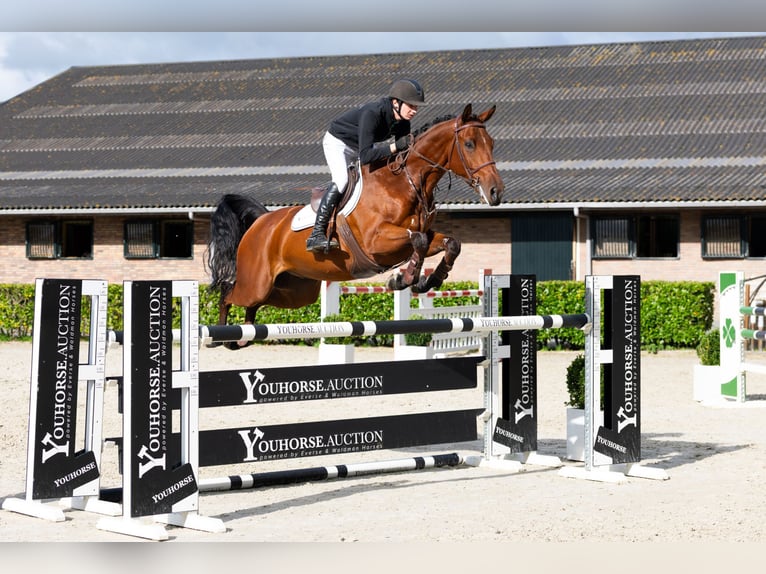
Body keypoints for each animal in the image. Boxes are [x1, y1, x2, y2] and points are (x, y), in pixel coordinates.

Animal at [206, 103, 504, 348]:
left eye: (491, 143)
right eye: (469, 144)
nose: (496, 192)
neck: (405, 183)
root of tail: (261, 221)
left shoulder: (419, 237)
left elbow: (450, 242)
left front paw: (430, 279)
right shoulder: (376, 243)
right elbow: (418, 239)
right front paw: (404, 279)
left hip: (294, 291)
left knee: (254, 306)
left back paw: (243, 335)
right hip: (256, 282)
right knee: (228, 293)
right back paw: (220, 338)